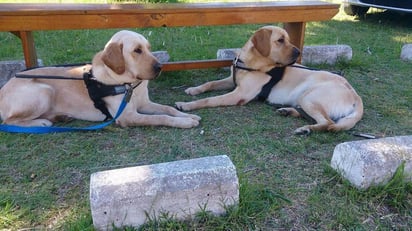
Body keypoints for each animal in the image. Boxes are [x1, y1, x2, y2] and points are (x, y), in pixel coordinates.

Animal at [175, 25, 362, 134]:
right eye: (280, 40)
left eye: (288, 40)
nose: (298, 52)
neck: (252, 63)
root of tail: (355, 95)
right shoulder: (231, 81)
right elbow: (210, 84)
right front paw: (193, 90)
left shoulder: (239, 94)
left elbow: (209, 100)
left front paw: (187, 105)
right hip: (304, 100)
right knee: (313, 116)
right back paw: (287, 111)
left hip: (309, 97)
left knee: (327, 123)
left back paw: (306, 129)